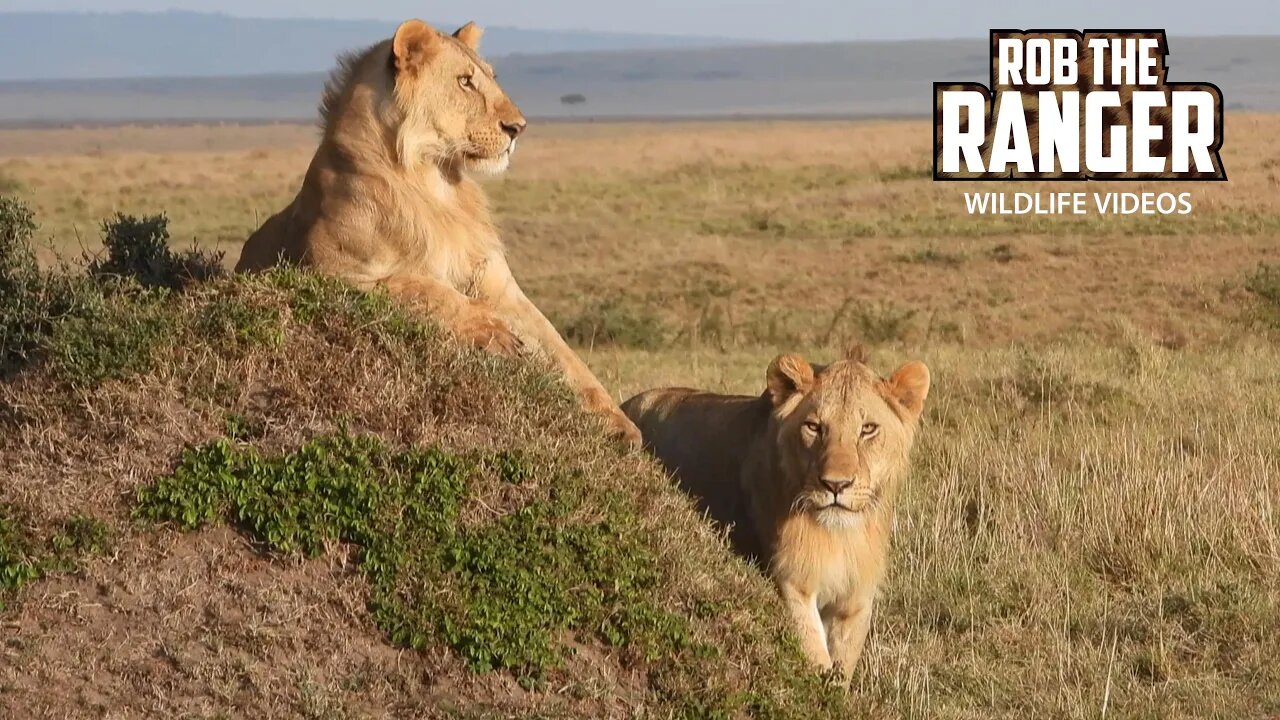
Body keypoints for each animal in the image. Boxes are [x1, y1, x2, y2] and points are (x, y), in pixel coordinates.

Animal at [234, 18, 640, 443]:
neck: (436, 184)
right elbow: (422, 287)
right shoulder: (329, 273)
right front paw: (491, 329)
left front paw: (619, 425)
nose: (518, 128)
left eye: (491, 77)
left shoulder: (499, 284)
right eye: (465, 82)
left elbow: (561, 349)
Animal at [619, 351, 931, 676]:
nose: (836, 485)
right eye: (814, 427)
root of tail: (626, 403)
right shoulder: (791, 581)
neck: (838, 535)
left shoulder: (855, 598)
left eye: (868, 429)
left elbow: (842, 666)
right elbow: (813, 655)